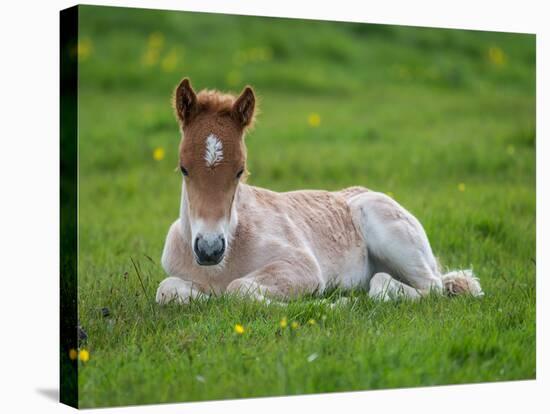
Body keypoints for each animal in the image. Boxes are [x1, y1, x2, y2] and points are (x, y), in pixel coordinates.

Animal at [155, 77, 484, 304]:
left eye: (240, 171)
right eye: (184, 168)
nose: (210, 249)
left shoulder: (304, 267)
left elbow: (238, 289)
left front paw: (330, 304)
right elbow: (167, 290)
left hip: (390, 230)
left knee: (429, 287)